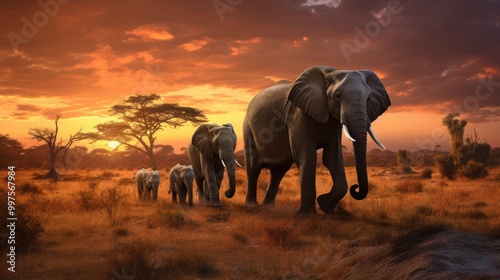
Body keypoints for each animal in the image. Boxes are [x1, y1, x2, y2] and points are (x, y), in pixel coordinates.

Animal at [243, 65, 390, 214]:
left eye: (368, 99)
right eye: (337, 96)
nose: (355, 187)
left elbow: (332, 157)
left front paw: (325, 206)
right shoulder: (298, 115)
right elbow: (306, 155)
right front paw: (306, 214)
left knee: (279, 171)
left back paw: (268, 207)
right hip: (248, 129)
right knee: (253, 168)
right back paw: (251, 206)